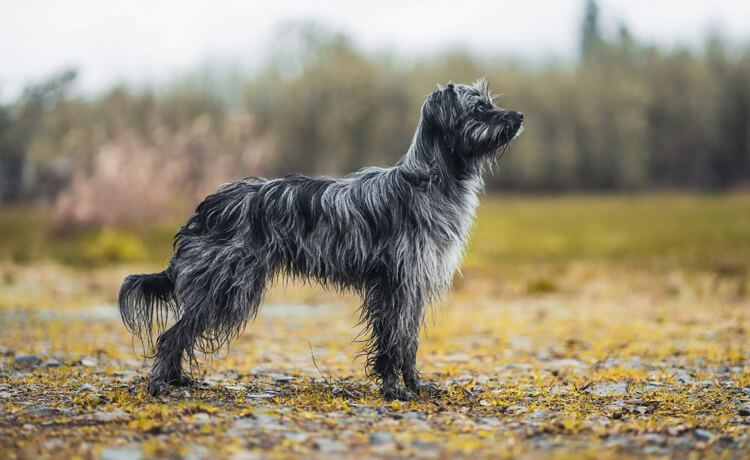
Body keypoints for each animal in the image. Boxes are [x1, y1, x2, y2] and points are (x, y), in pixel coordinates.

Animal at [120, 78, 524, 398]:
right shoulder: (397, 282)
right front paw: (394, 390)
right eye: (479, 108)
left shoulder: (412, 285)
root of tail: (208, 207)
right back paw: (160, 384)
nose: (519, 117)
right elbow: (393, 341)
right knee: (171, 335)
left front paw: (416, 385)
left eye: (490, 102)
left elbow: (408, 341)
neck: (427, 180)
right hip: (225, 287)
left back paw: (177, 379)